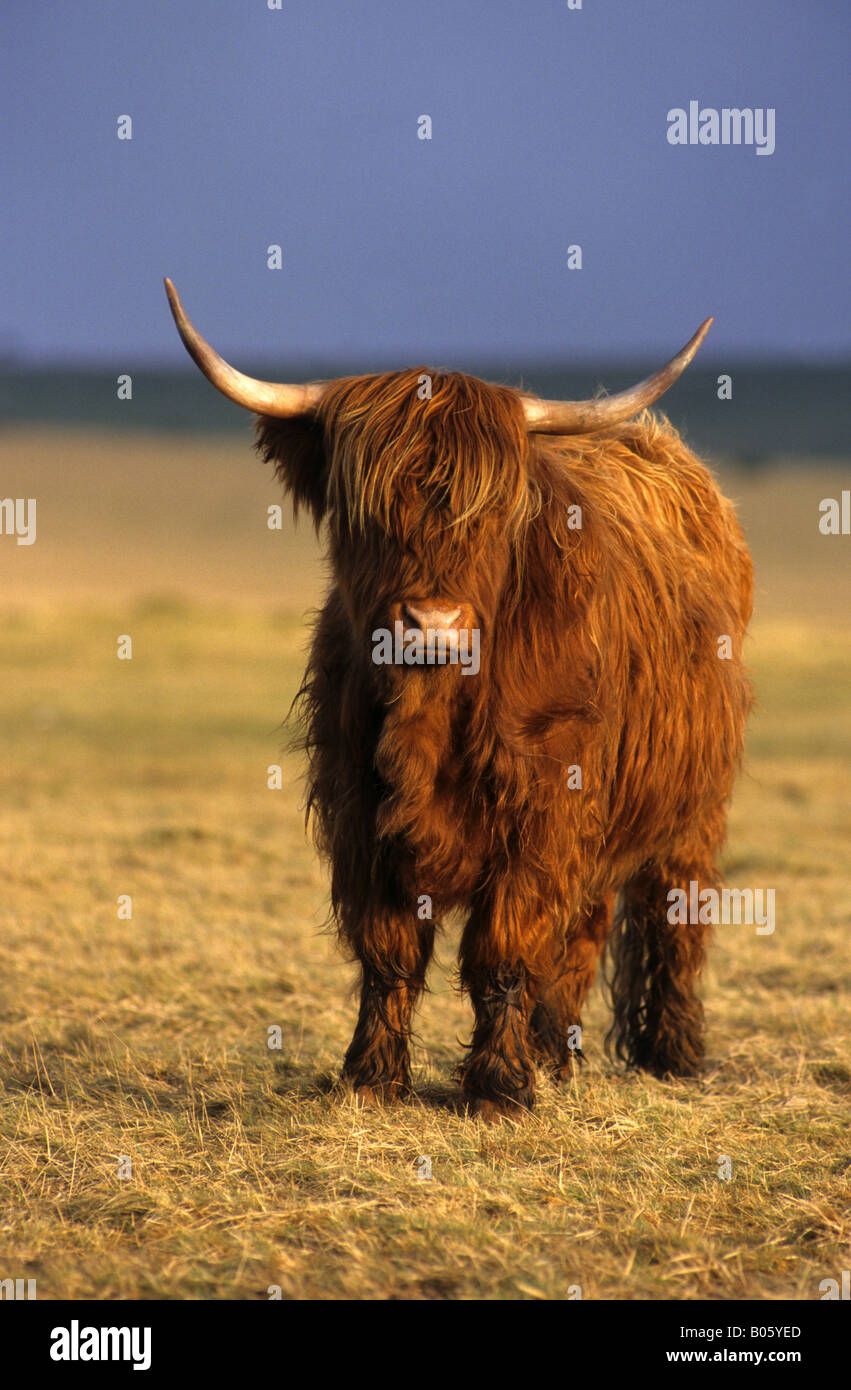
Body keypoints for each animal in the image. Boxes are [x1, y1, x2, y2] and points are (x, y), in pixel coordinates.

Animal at [165, 279, 753, 1119]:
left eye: (488, 514)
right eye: (368, 512)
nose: (432, 623)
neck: (433, 708)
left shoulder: (544, 805)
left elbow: (504, 948)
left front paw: (498, 1089)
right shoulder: (360, 809)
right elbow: (388, 951)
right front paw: (371, 1078)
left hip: (691, 810)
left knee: (674, 913)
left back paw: (669, 1055)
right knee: (583, 930)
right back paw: (556, 1055)